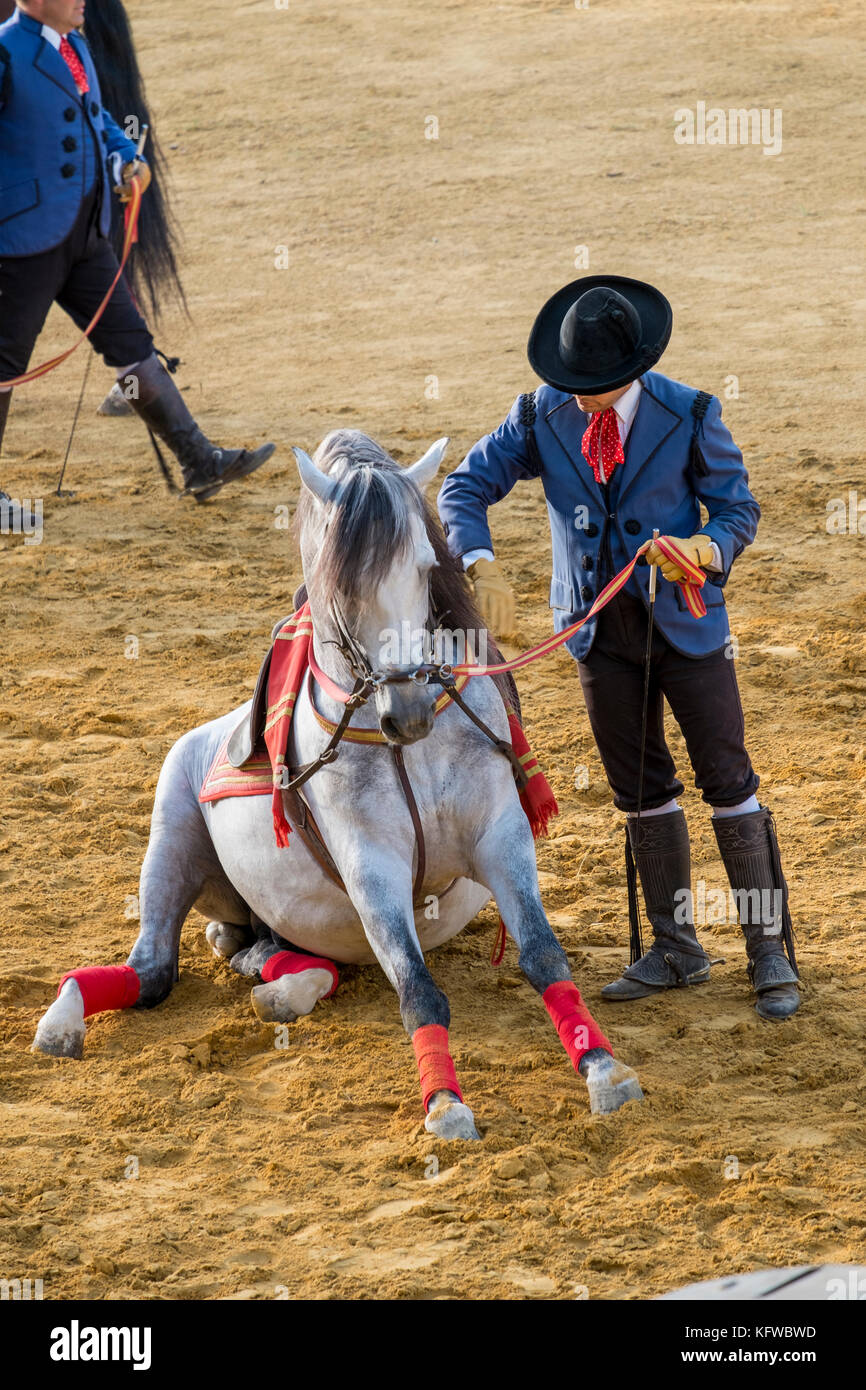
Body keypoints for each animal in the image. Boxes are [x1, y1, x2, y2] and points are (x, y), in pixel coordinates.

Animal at [33, 428, 644, 1134]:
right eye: (341, 587)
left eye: (424, 566)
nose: (407, 712)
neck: (408, 749)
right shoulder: (371, 866)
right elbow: (417, 989)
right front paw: (446, 1105)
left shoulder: (500, 837)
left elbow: (544, 955)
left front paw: (605, 1070)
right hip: (171, 839)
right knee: (151, 970)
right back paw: (63, 1019)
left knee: (276, 956)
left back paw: (271, 981)